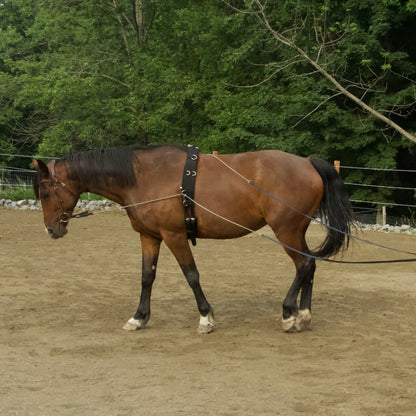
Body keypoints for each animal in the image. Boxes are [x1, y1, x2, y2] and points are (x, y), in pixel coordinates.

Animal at [32, 145, 352, 334]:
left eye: (46, 192)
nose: (51, 230)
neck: (143, 177)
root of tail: (307, 163)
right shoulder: (150, 236)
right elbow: (147, 277)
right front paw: (139, 317)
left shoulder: (174, 236)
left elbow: (191, 275)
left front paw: (205, 317)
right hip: (294, 231)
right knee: (309, 265)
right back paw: (303, 314)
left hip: (286, 230)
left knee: (304, 266)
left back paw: (288, 313)